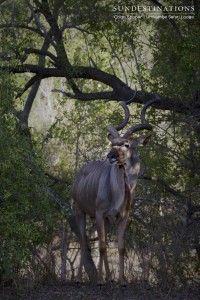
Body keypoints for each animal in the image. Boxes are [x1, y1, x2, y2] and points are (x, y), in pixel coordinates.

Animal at [72, 98, 156, 286]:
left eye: (126, 144)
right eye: (112, 143)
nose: (110, 156)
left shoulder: (122, 218)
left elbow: (120, 247)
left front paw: (122, 280)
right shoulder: (100, 214)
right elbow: (103, 247)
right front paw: (100, 280)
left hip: (103, 220)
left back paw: (109, 277)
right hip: (80, 212)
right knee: (84, 242)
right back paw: (80, 278)